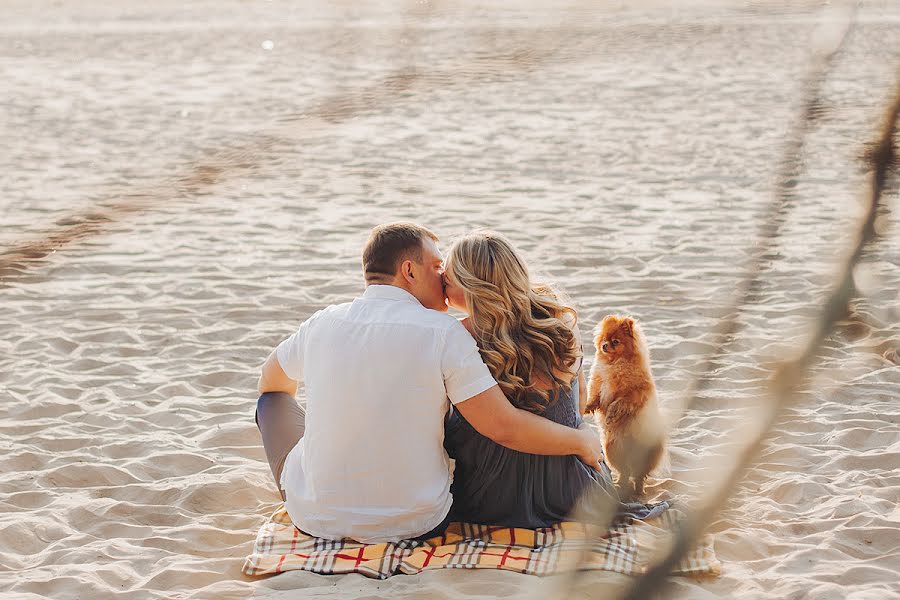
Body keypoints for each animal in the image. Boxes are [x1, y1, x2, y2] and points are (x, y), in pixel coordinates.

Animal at [588, 316, 664, 500]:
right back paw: (620, 486)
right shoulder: (599, 382)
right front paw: (588, 406)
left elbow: (619, 402)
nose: (604, 345)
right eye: (604, 339)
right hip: (612, 451)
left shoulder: (634, 393)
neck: (615, 363)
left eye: (615, 342)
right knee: (625, 472)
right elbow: (594, 396)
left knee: (638, 476)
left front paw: (611, 415)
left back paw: (638, 491)